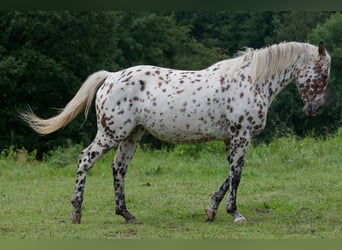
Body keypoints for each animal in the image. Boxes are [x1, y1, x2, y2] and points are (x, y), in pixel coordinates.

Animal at [21, 41, 332, 225]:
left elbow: (229, 174)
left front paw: (212, 210)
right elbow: (237, 175)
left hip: (131, 136)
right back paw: (76, 212)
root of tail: (110, 77)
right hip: (111, 134)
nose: (315, 109)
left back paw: (127, 214)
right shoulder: (241, 137)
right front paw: (235, 214)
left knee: (118, 169)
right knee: (85, 159)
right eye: (324, 73)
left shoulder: (231, 139)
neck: (252, 81)